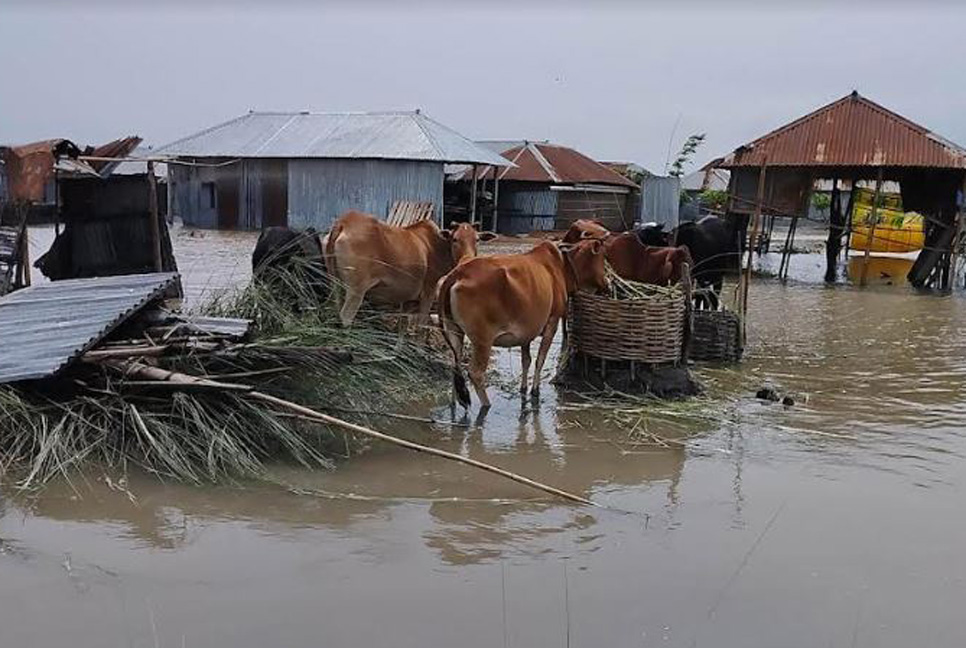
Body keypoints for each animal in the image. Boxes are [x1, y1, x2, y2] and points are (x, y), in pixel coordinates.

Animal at [328, 210, 496, 326]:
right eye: (455, 239)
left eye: (477, 239)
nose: (468, 259)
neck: (437, 246)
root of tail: (344, 222)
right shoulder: (428, 293)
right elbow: (421, 327)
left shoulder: (407, 301)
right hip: (356, 290)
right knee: (346, 318)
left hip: (336, 287)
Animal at [440, 238, 608, 410]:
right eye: (602, 258)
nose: (607, 283)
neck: (561, 266)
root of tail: (458, 272)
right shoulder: (552, 322)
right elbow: (540, 359)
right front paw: (535, 390)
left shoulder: (526, 332)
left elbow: (526, 361)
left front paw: (523, 388)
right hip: (483, 341)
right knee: (476, 373)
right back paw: (486, 404)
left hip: (455, 332)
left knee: (455, 365)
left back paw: (454, 403)